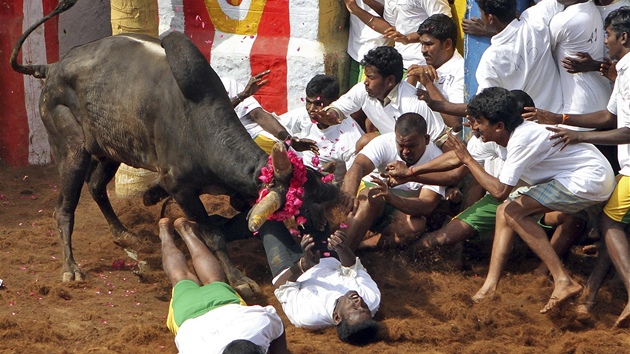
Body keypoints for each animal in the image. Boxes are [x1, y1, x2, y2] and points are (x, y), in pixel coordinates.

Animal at [8, 0, 340, 296]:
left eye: (315, 198)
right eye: (298, 208)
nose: (324, 232)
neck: (200, 122)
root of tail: (52, 67)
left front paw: (151, 196)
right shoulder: (181, 187)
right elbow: (213, 234)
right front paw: (239, 279)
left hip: (110, 149)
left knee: (96, 186)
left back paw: (124, 234)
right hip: (72, 152)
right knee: (64, 209)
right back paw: (71, 267)